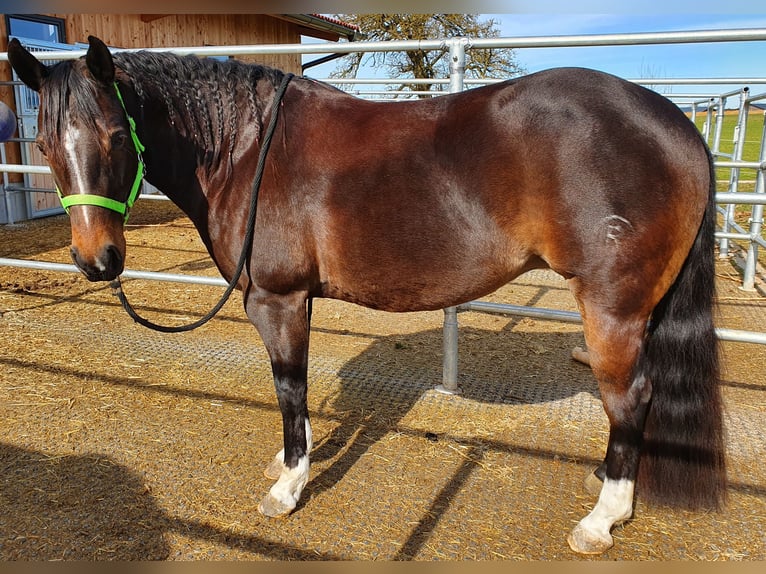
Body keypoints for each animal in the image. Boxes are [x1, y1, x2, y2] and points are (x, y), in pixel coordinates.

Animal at [7, 37, 728, 560]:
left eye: (115, 136)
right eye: (41, 143)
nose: (97, 260)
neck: (244, 148)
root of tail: (676, 125)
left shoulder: (277, 299)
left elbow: (289, 385)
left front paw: (289, 486)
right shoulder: (296, 299)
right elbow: (293, 391)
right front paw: (288, 462)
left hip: (612, 309)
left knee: (630, 398)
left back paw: (602, 519)